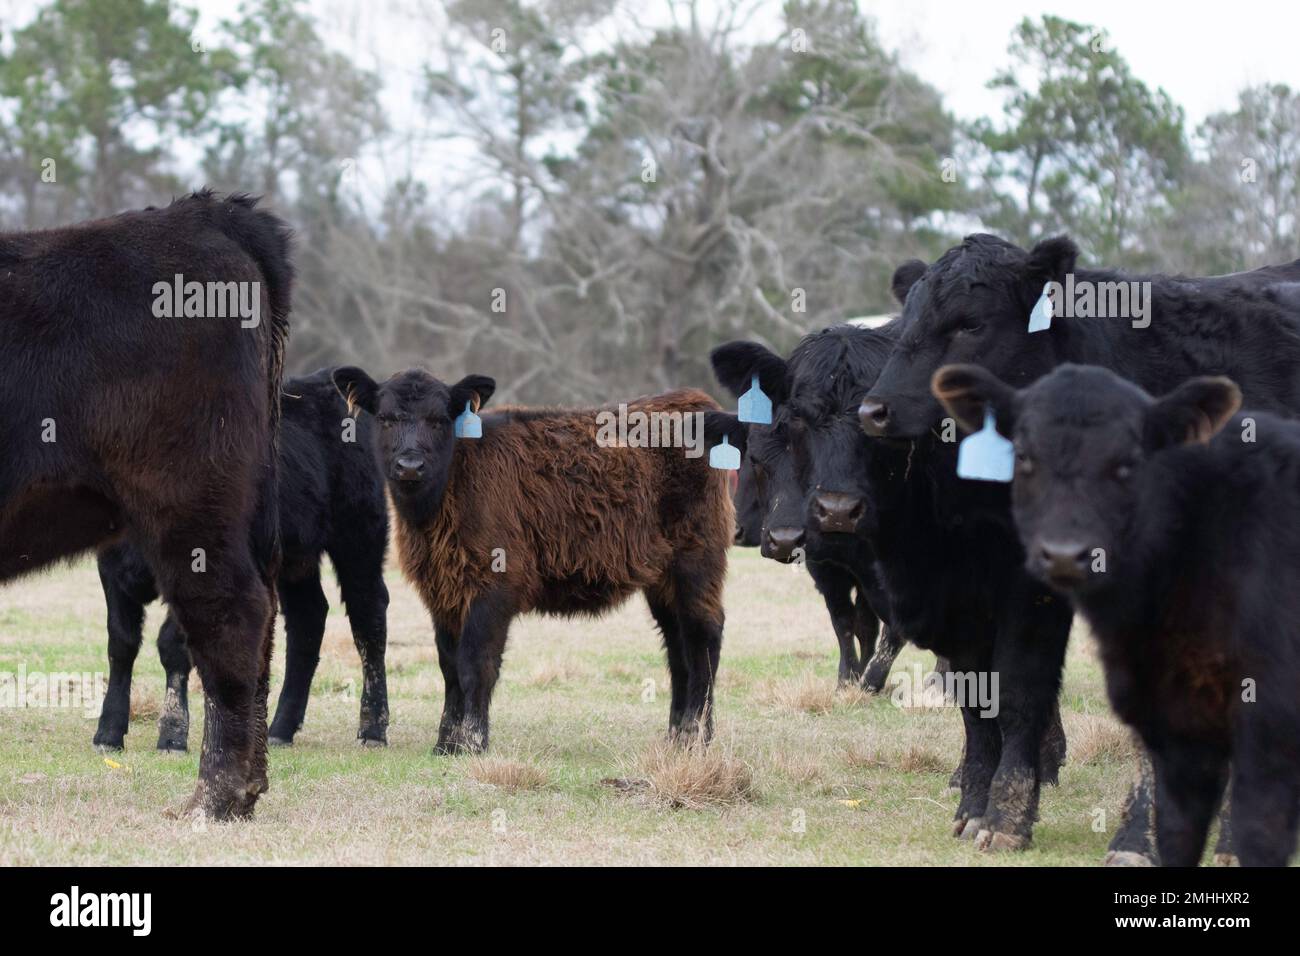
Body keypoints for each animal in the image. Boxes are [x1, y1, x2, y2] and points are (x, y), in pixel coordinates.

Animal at [92, 371, 390, 754]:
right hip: (295, 556)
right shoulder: (112, 569)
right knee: (308, 618)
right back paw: (280, 728)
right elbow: (121, 643)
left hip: (360, 536)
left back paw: (373, 728)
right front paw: (109, 730)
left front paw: (173, 731)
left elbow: (172, 645)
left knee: (369, 616)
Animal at [332, 369, 743, 754]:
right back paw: (677, 737)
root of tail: (692, 401)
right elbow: (449, 666)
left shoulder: (494, 585)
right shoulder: (442, 592)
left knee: (704, 637)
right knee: (678, 647)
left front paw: (472, 743)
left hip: (697, 563)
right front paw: (445, 743)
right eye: (387, 418)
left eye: (438, 419)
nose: (410, 465)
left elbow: (475, 664)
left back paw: (695, 735)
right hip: (662, 579)